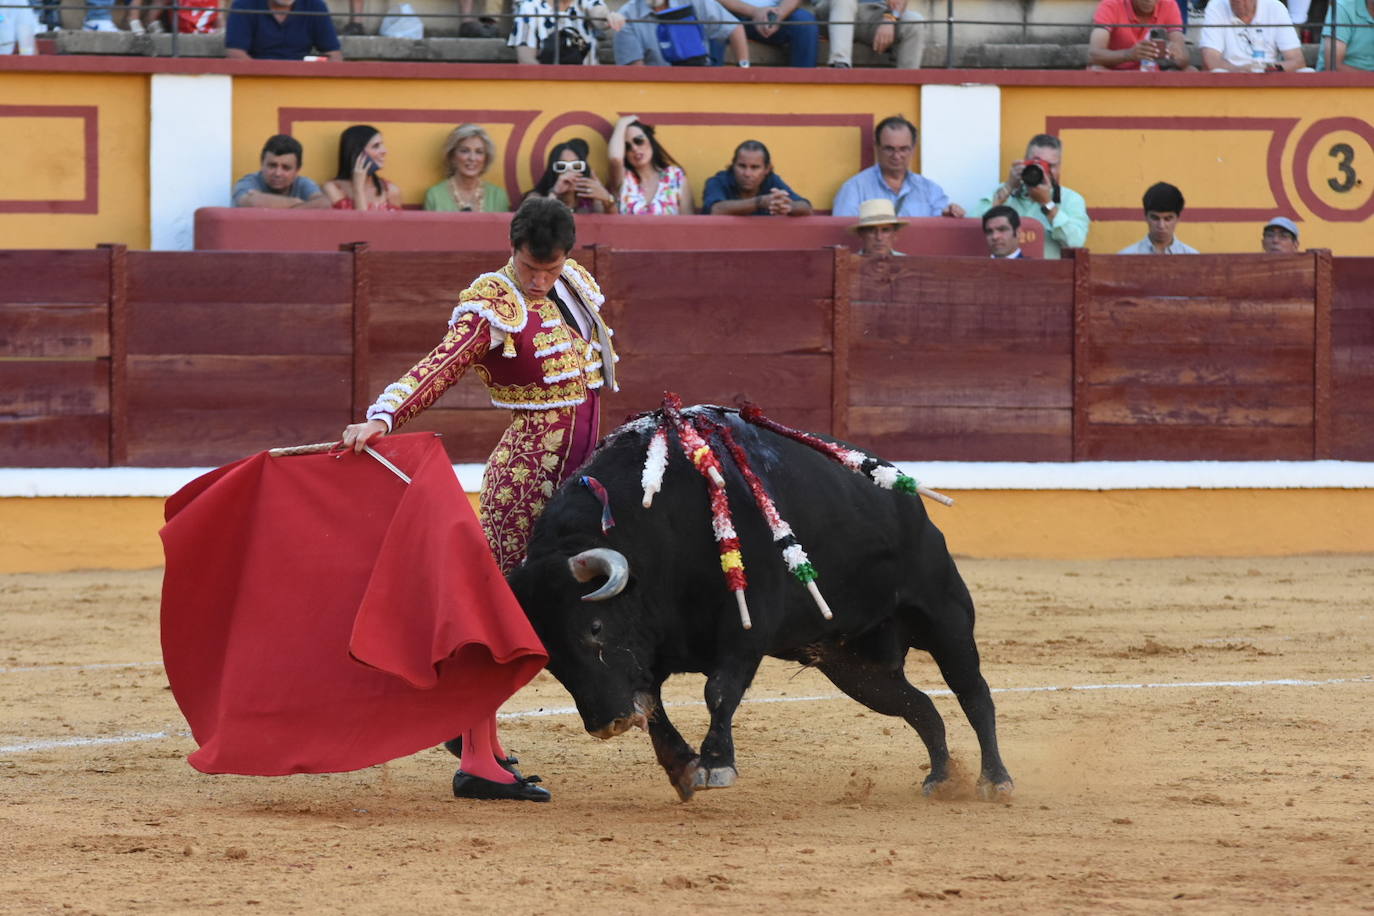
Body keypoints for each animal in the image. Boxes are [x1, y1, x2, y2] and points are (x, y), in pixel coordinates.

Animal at [505, 409, 1011, 802]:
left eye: (594, 629)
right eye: (550, 658)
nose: (606, 724)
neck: (657, 523)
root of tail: (910, 501)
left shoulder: (746, 629)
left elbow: (718, 691)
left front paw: (715, 765)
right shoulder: (651, 647)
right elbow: (653, 704)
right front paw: (681, 767)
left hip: (945, 616)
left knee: (973, 692)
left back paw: (994, 780)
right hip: (854, 667)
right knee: (918, 705)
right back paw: (942, 777)